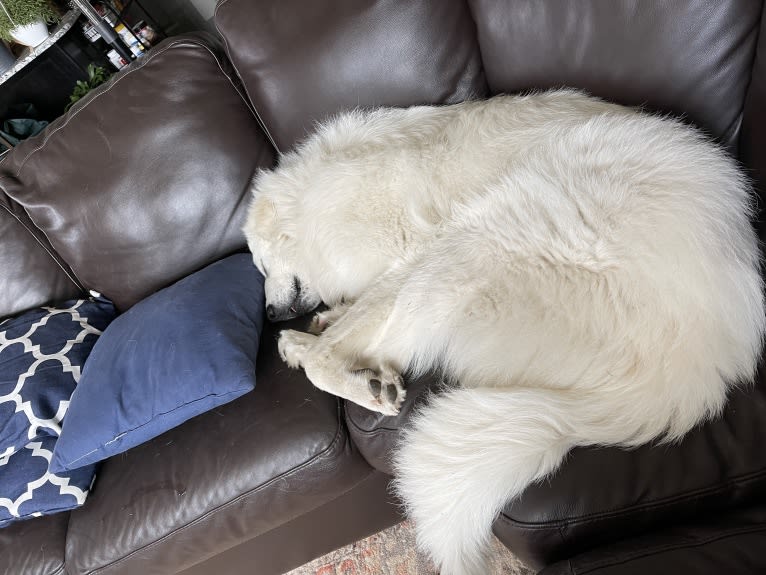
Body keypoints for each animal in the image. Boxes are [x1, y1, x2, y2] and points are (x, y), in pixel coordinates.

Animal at [243, 91, 764, 575]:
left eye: (261, 265)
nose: (269, 313)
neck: (310, 203)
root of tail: (693, 373)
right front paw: (319, 328)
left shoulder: (407, 256)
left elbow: (338, 346)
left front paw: (334, 356)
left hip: (473, 243)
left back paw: (360, 375)